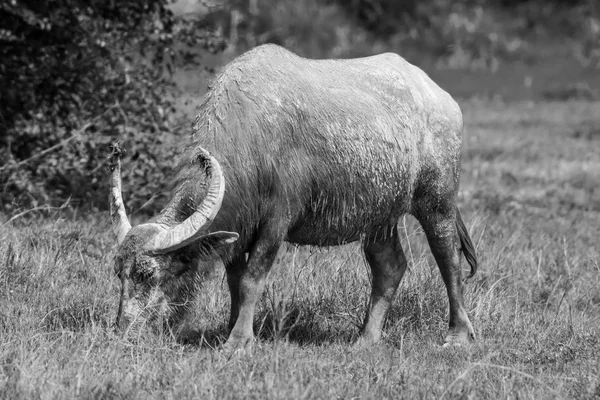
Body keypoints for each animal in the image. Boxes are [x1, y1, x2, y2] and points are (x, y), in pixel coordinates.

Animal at [109, 44, 478, 350]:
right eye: (120, 274)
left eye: (149, 275)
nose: (124, 333)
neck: (251, 134)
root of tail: (441, 98)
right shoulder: (239, 227)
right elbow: (234, 280)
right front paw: (231, 328)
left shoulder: (277, 222)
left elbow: (252, 280)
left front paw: (239, 342)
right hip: (380, 216)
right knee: (389, 266)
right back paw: (366, 339)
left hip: (437, 199)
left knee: (448, 258)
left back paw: (458, 335)